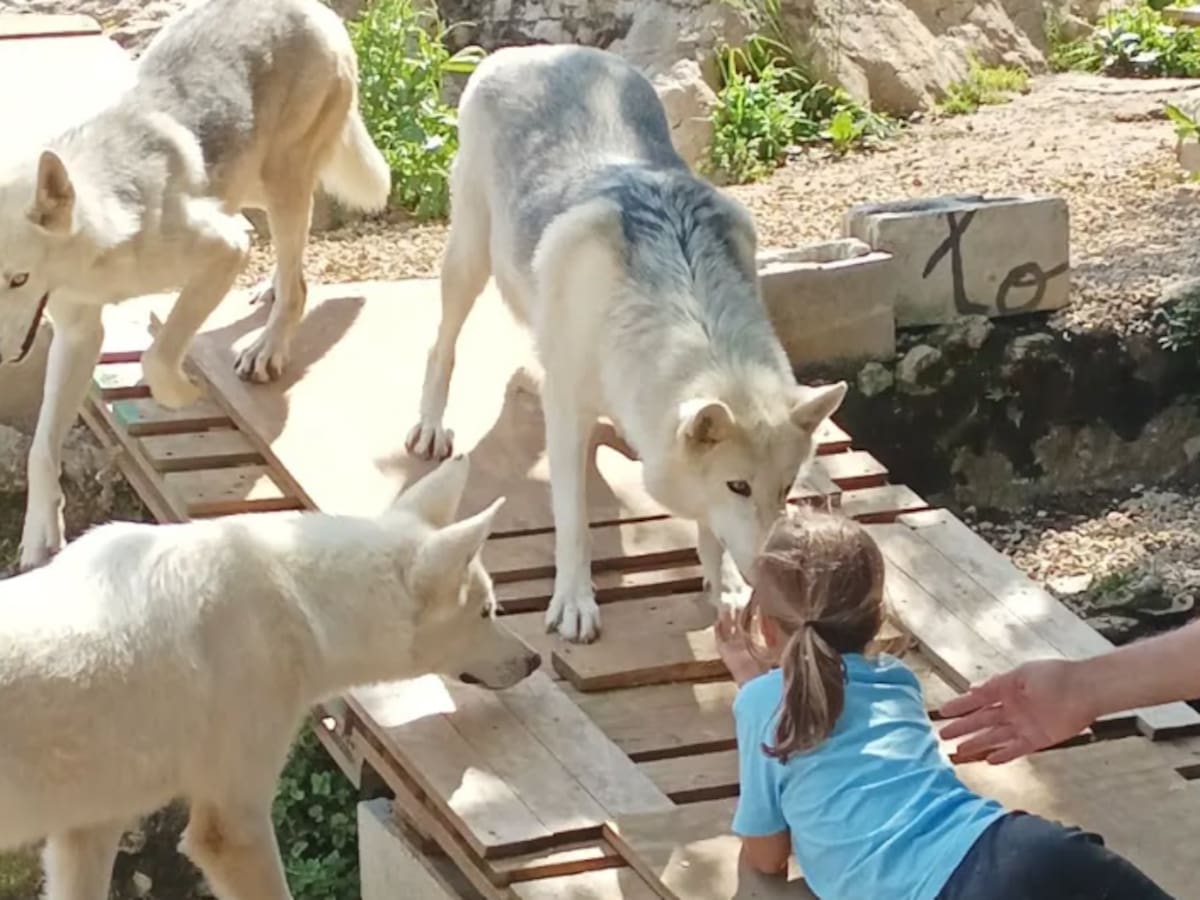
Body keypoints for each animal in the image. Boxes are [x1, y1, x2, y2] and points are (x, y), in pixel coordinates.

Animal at [0, 0, 391, 572]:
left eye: (19, 279)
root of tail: (316, 11)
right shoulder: (79, 336)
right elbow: (41, 449)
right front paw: (38, 536)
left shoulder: (224, 249)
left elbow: (158, 356)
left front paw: (183, 394)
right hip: (251, 185)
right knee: (287, 262)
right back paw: (269, 295)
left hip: (280, 184)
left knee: (297, 281)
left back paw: (268, 346)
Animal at [406, 45, 847, 643]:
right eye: (737, 486)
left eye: (784, 490)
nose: (768, 577)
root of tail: (532, 50)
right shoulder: (569, 418)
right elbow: (574, 523)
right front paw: (574, 604)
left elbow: (707, 529)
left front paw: (727, 587)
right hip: (468, 260)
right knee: (443, 343)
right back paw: (431, 428)